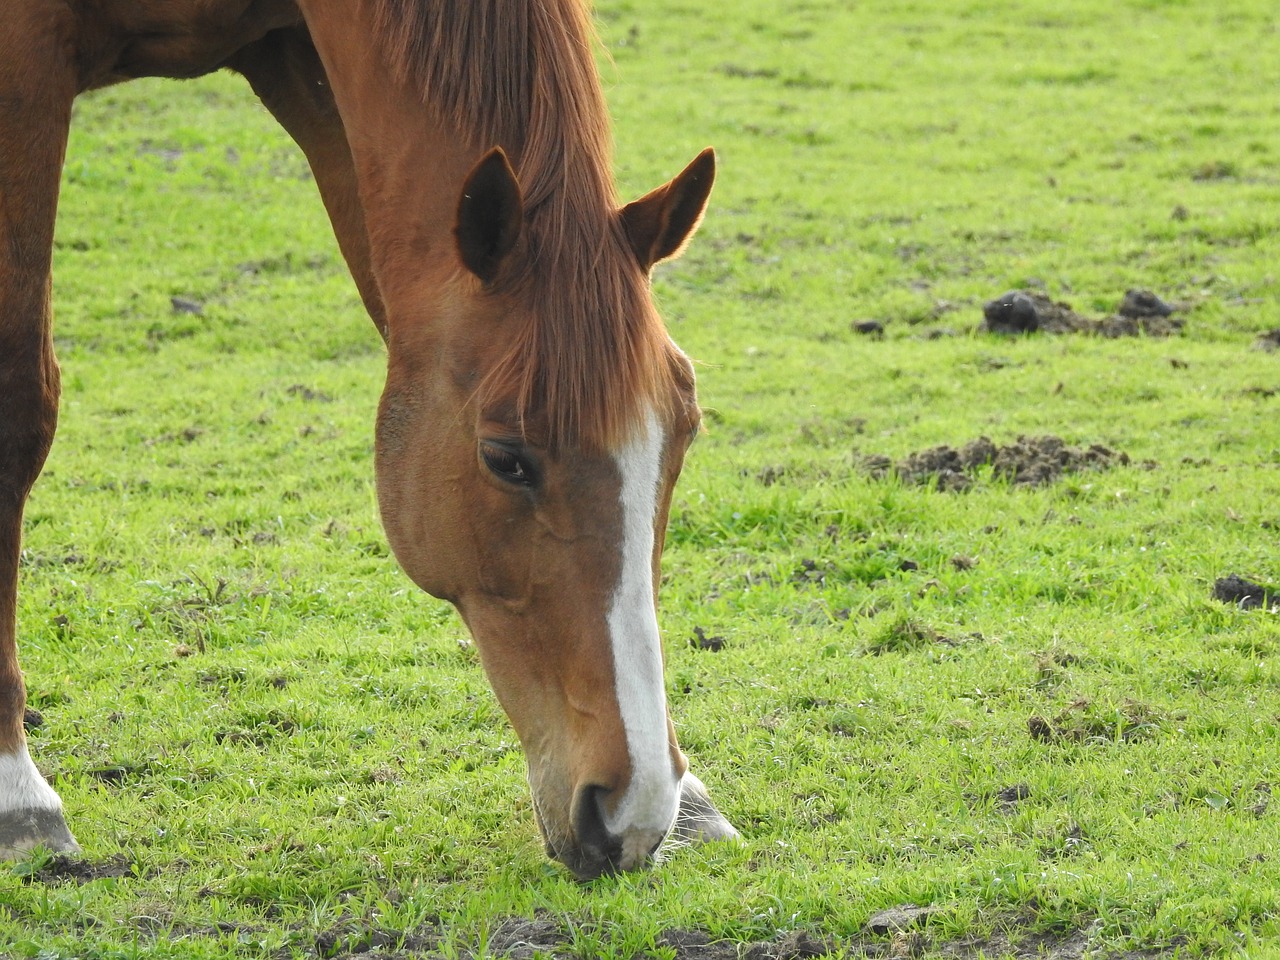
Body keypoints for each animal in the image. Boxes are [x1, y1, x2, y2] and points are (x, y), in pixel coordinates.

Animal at [0, 0, 737, 880]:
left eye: (683, 435)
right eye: (506, 458)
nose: (633, 809)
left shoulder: (303, 62)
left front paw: (690, 798)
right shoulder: (24, 67)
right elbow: (17, 411)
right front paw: (17, 791)